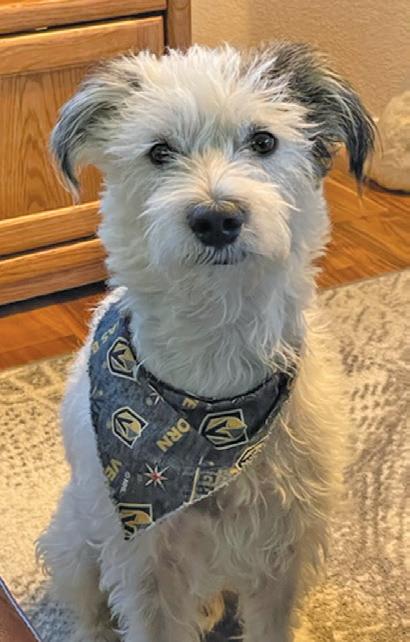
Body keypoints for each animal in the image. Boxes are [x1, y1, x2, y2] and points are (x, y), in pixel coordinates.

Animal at [38, 42, 375, 642]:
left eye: (264, 141)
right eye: (159, 151)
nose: (217, 218)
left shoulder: (285, 552)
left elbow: (273, 623)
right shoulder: (147, 565)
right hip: (76, 542)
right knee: (90, 614)